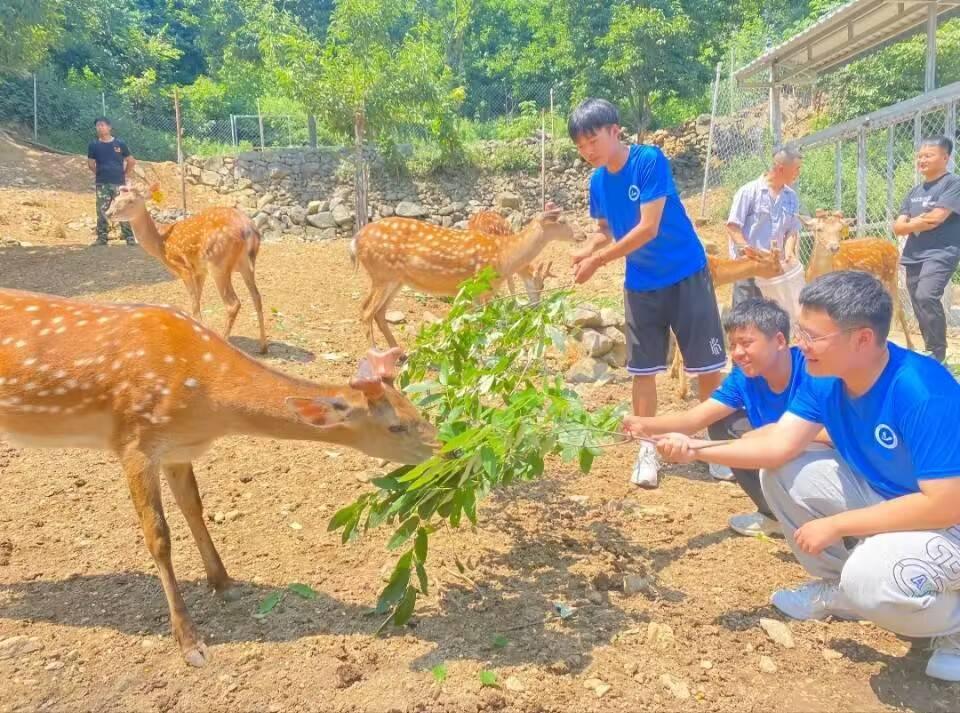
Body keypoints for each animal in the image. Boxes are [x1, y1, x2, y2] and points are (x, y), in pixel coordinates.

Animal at [0, 286, 436, 664]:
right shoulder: (135, 442)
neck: (208, 402)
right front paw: (190, 642)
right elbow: (158, 537)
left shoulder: (177, 449)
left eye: (414, 408)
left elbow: (195, 509)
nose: (444, 448)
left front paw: (224, 582)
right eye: (396, 426)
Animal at [105, 182, 268, 352]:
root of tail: (248, 229)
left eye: (131, 201)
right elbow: (197, 301)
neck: (159, 243)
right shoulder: (199, 270)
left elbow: (195, 306)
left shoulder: (183, 267)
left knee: (233, 303)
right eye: (115, 198)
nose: (108, 213)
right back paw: (263, 347)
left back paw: (224, 342)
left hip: (218, 262)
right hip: (246, 264)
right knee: (257, 297)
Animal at [348, 203, 580, 348]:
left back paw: (399, 353)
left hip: (396, 280)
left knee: (378, 312)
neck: (504, 256)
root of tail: (355, 240)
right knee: (365, 311)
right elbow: (482, 323)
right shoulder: (479, 286)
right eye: (562, 221)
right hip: (382, 274)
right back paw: (376, 353)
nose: (583, 235)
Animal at [800, 207, 912, 350]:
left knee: (898, 308)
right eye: (819, 229)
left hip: (892, 275)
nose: (834, 247)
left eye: (840, 229)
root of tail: (893, 247)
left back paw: (908, 345)